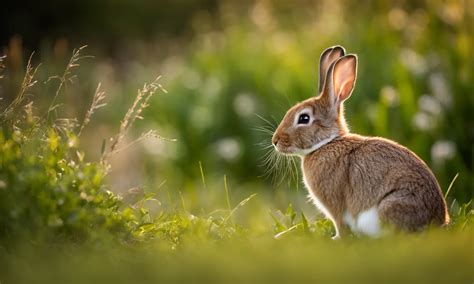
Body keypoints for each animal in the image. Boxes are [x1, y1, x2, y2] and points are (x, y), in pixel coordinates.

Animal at [272, 45, 450, 239]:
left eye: (304, 118)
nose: (275, 141)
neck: (326, 143)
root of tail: (437, 220)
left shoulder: (336, 206)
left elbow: (340, 225)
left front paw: (335, 239)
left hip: (390, 206)